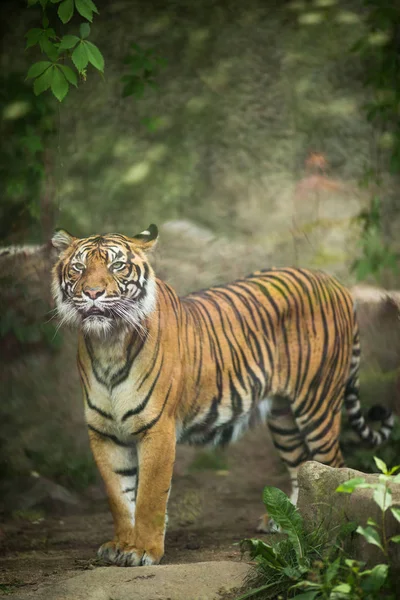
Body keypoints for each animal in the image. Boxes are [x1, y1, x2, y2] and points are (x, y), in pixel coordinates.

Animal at [50, 224, 394, 568]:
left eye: (117, 266)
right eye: (79, 267)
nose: (93, 293)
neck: (107, 343)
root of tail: (335, 283)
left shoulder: (157, 429)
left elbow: (149, 496)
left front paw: (143, 549)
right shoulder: (104, 432)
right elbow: (119, 498)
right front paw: (121, 545)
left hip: (317, 405)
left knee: (332, 467)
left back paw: (324, 530)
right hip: (283, 417)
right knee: (303, 468)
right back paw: (293, 523)